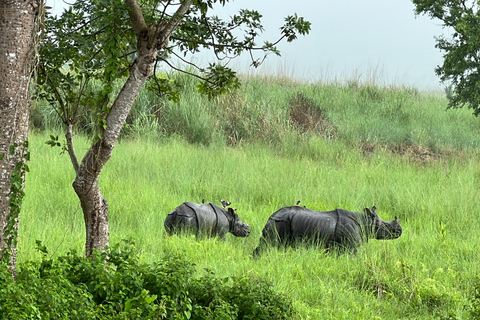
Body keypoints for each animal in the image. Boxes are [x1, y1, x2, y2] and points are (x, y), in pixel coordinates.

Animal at [253, 206, 404, 256]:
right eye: (384, 226)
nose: (399, 230)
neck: (365, 221)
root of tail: (271, 216)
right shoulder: (350, 247)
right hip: (279, 222)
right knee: (269, 244)